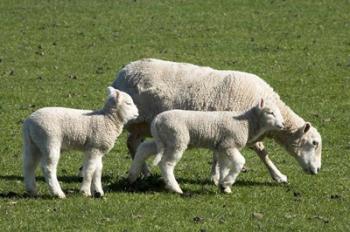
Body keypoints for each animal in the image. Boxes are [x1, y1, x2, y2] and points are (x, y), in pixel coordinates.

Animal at [128, 98, 284, 194]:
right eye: (270, 112)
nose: (282, 125)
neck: (247, 122)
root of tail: (157, 121)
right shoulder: (229, 144)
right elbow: (240, 162)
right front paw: (227, 182)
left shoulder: (222, 147)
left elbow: (224, 167)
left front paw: (224, 186)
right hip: (176, 139)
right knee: (166, 164)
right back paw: (176, 188)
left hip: (164, 139)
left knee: (143, 148)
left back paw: (132, 175)